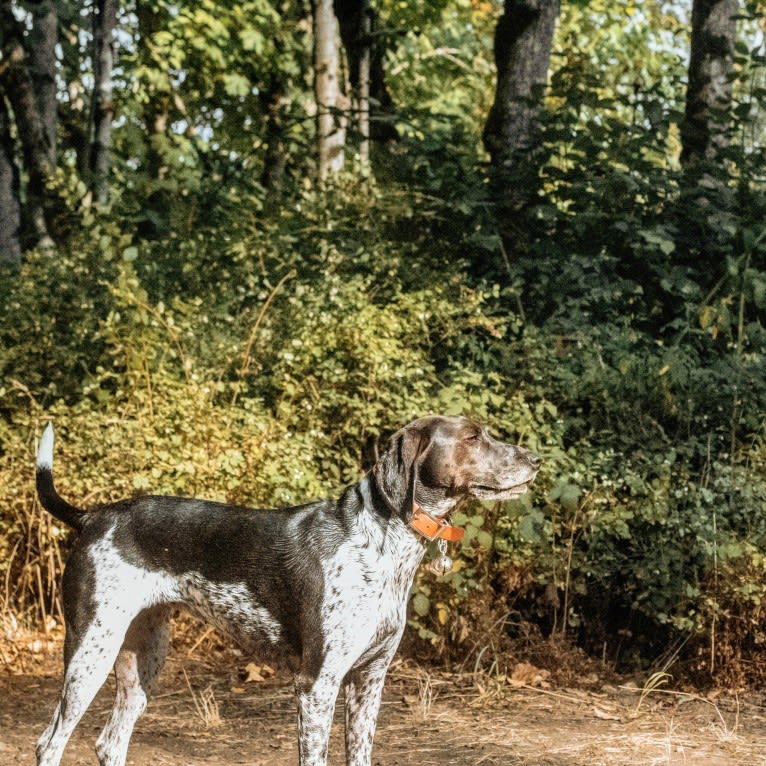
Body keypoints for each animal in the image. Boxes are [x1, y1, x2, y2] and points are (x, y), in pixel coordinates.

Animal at [34, 416, 540, 764]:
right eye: (472, 437)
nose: (536, 459)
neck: (381, 537)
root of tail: (94, 516)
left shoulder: (369, 681)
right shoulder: (318, 684)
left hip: (144, 659)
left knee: (109, 742)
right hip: (89, 654)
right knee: (49, 742)